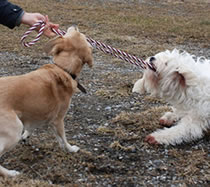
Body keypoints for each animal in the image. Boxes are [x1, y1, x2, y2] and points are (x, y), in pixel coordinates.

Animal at [0, 25, 92, 177]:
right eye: (79, 33)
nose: (75, 26)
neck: (63, 69)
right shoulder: (58, 119)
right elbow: (62, 139)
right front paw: (70, 149)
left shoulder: (36, 112)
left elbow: (31, 126)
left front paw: (26, 136)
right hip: (14, 129)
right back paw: (11, 173)